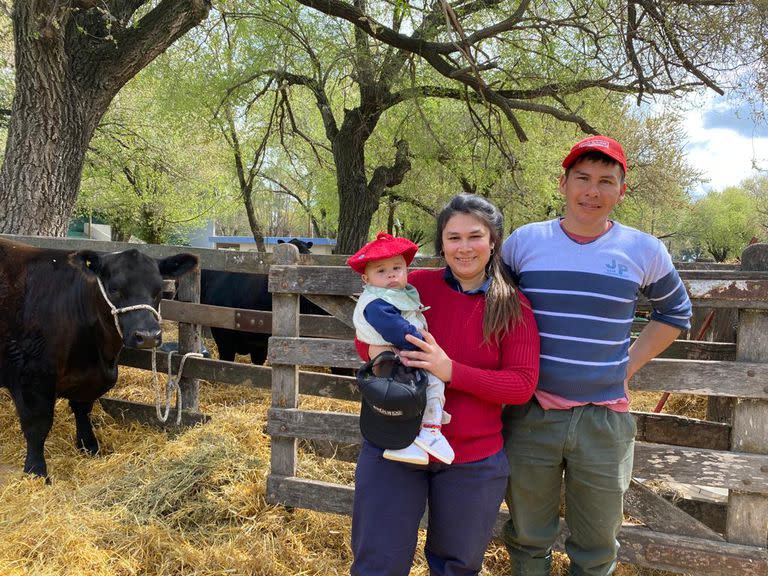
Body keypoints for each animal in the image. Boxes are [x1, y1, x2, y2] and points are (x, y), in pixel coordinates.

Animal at [0, 238, 198, 476]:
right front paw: (36, 470)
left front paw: (89, 446)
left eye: (159, 289)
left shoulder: (90, 378)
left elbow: (83, 410)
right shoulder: (32, 376)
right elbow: (37, 424)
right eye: (114, 288)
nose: (148, 336)